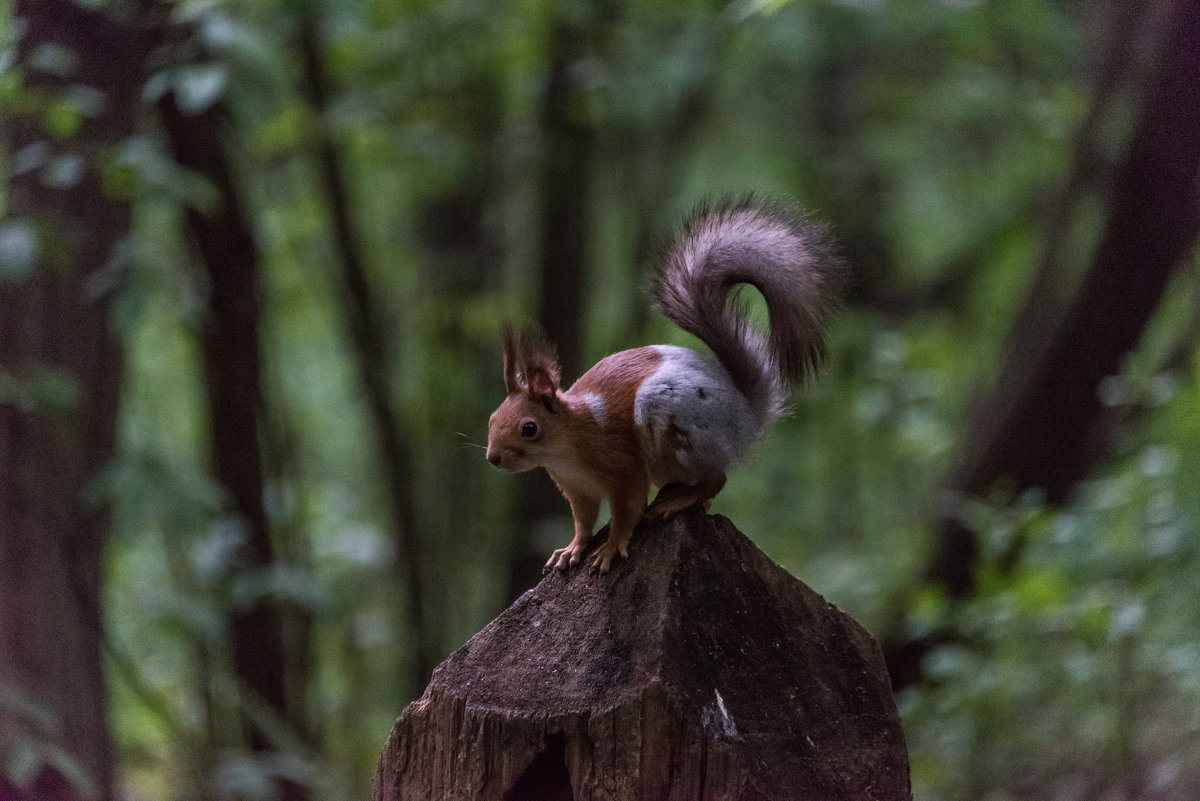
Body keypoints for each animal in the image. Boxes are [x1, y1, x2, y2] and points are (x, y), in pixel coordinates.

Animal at [482, 196, 840, 573]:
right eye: (492, 419)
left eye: (529, 428)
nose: (493, 458)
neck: (567, 447)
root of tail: (747, 415)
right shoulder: (578, 489)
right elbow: (583, 521)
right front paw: (572, 549)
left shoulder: (622, 467)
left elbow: (627, 510)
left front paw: (611, 549)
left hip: (676, 422)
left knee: (716, 480)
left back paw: (677, 501)